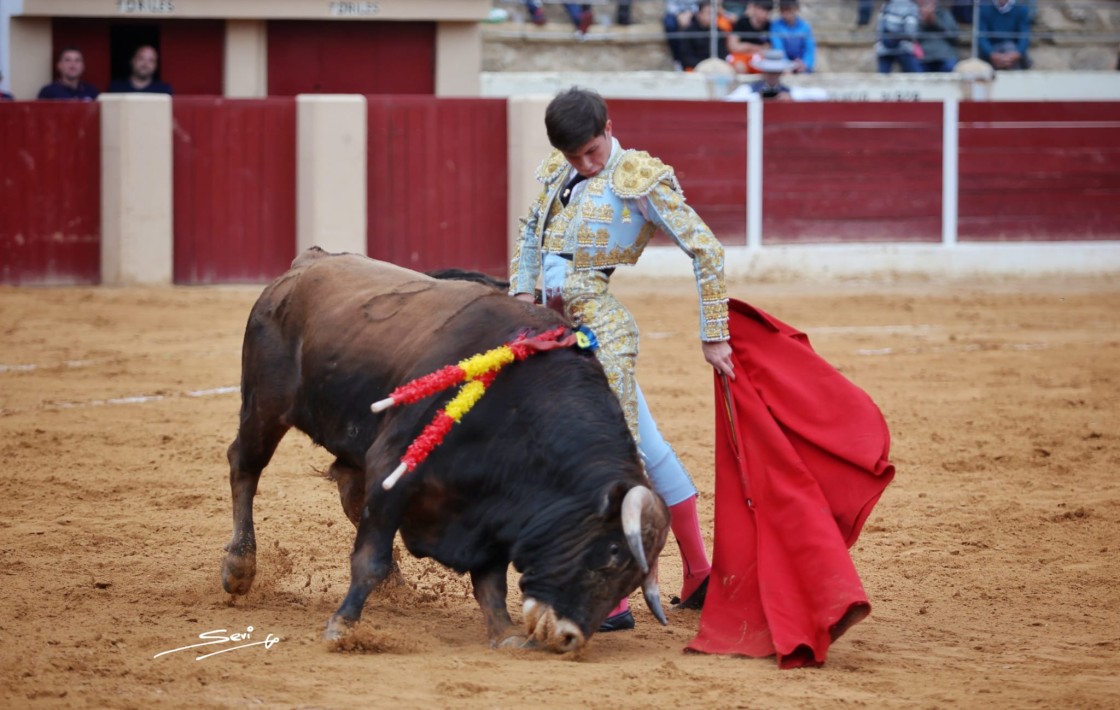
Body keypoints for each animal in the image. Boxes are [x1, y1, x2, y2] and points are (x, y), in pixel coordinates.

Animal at [222, 246, 667, 649]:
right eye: (612, 553)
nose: (569, 637)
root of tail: (309, 261)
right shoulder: (393, 464)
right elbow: (369, 558)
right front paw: (343, 627)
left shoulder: (495, 503)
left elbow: (491, 579)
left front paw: (504, 633)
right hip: (264, 407)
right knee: (245, 466)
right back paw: (239, 567)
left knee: (348, 491)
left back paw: (395, 585)